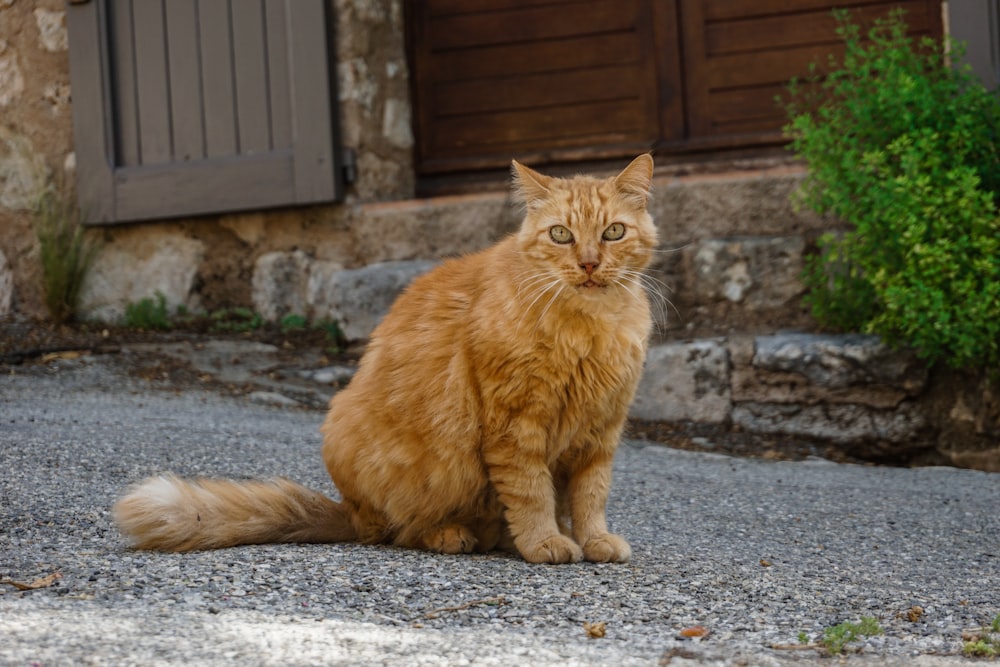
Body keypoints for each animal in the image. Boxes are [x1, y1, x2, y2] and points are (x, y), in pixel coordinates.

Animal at [115, 155, 656, 564]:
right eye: (561, 235)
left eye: (612, 232)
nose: (588, 264)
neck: (589, 331)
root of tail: (351, 512)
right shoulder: (516, 428)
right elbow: (532, 494)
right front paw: (545, 542)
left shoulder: (600, 433)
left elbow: (589, 497)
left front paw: (594, 541)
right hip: (411, 459)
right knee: (403, 530)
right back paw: (452, 535)